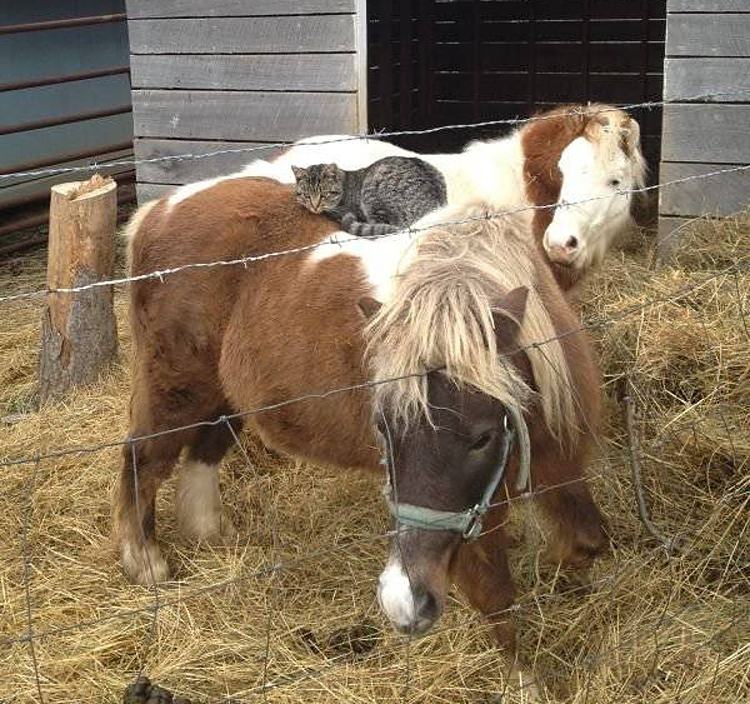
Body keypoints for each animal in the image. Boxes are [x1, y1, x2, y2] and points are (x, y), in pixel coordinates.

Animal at [119, 179, 612, 680]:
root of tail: (158, 211)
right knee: (143, 458)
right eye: (383, 428)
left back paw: (210, 534)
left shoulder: (557, 464)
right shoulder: (479, 512)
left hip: (226, 396)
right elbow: (495, 596)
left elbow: (590, 541)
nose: (403, 602)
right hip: (177, 391)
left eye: (482, 437)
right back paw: (146, 562)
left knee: (205, 451)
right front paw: (523, 680)